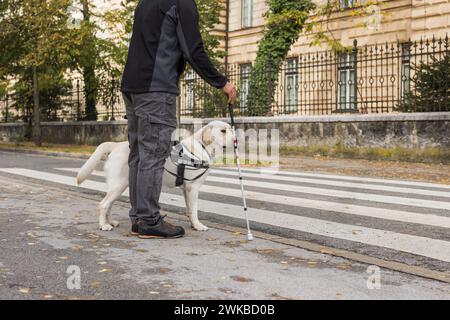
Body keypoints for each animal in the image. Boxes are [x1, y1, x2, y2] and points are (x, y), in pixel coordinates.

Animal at [77, 121, 234, 231]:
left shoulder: (185, 189)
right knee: (103, 204)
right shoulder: (193, 187)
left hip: (117, 185)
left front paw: (192, 224)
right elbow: (194, 210)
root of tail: (116, 145)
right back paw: (103, 225)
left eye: (231, 129)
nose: (235, 140)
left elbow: (189, 209)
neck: (202, 146)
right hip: (119, 185)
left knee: (108, 204)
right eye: (223, 131)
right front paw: (198, 225)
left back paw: (110, 222)